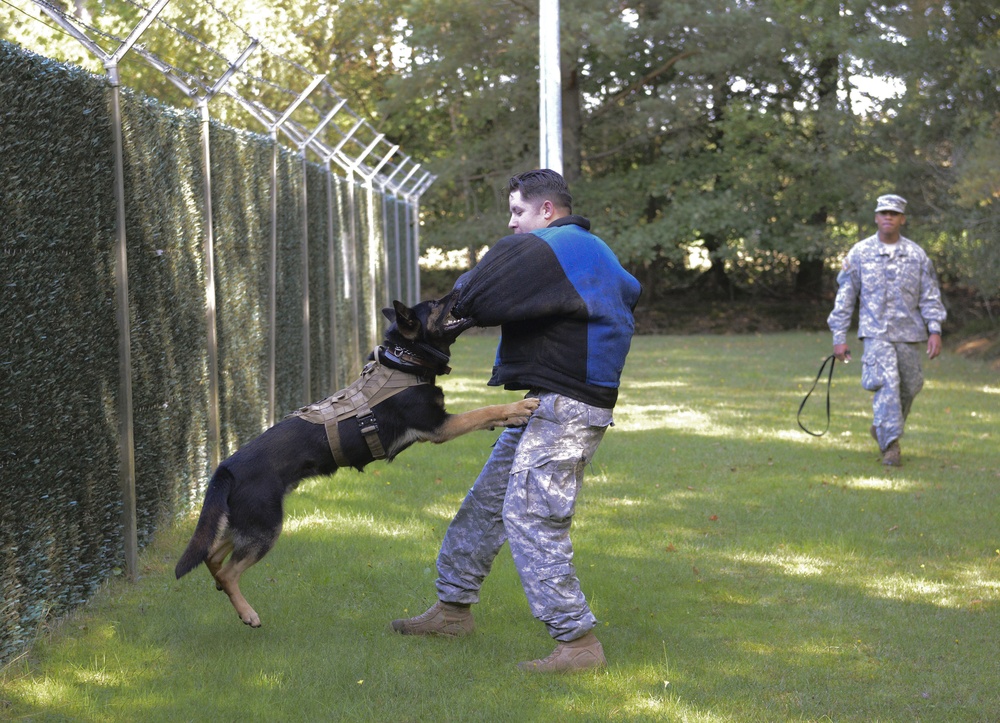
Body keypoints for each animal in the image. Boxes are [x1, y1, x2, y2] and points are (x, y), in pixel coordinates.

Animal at [180, 292, 540, 624]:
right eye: (436, 303)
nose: (459, 289)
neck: (406, 361)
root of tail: (227, 467)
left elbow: (483, 415)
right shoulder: (438, 427)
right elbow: (483, 411)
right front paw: (517, 408)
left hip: (249, 521)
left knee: (212, 556)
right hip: (265, 526)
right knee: (228, 570)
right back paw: (247, 613)